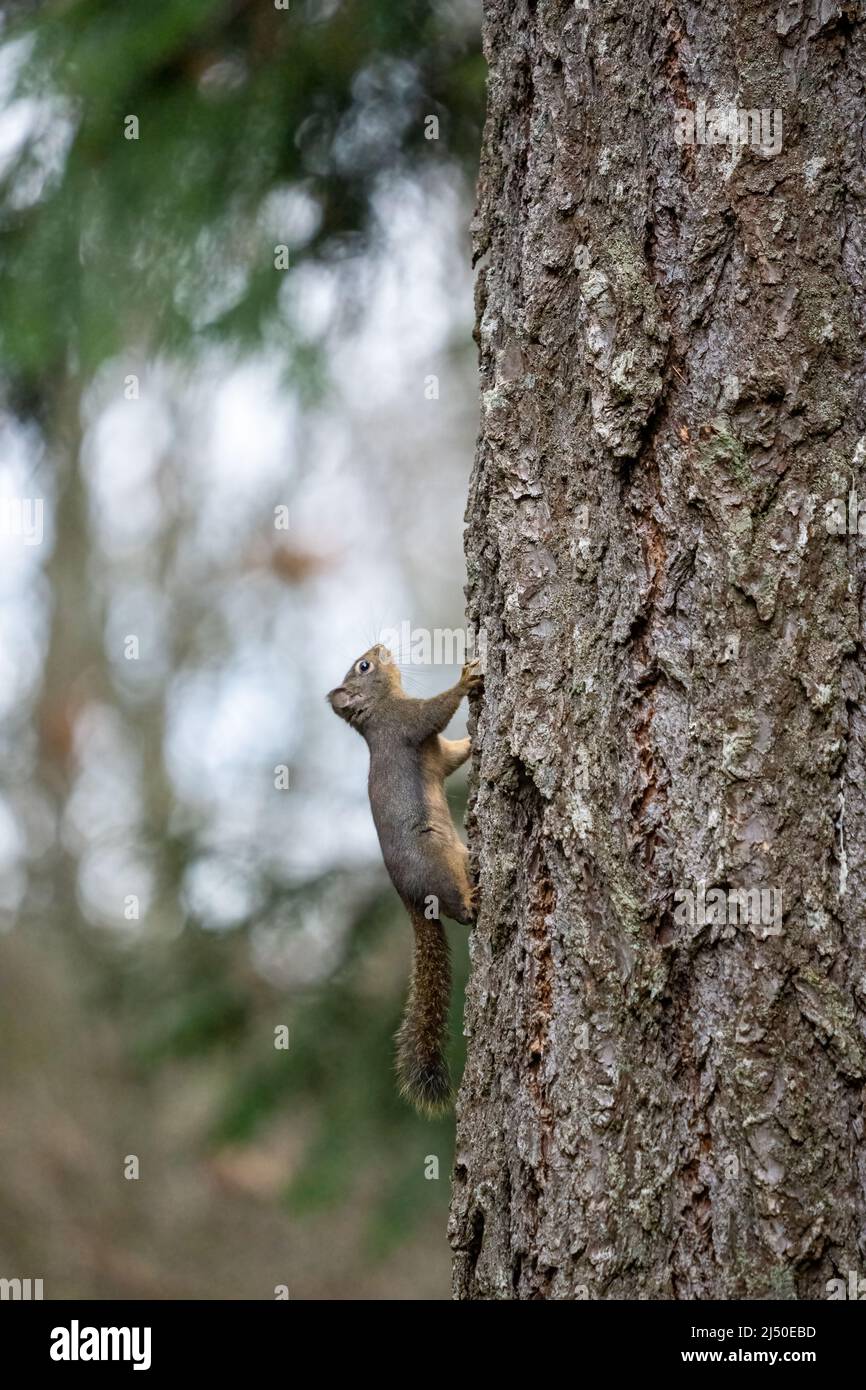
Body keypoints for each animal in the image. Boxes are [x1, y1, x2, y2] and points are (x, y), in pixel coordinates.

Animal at [328, 644, 483, 1112]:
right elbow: (435, 712)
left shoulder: (437, 750)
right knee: (457, 909)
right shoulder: (407, 725)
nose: (380, 648)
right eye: (364, 666)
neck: (381, 710)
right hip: (437, 865)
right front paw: (466, 678)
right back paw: (471, 903)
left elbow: (453, 753)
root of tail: (409, 897)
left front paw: (476, 739)